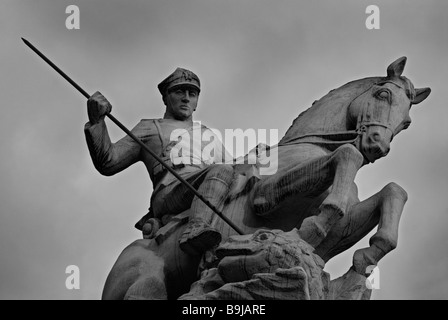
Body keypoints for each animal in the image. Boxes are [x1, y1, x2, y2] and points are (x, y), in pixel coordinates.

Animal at [100, 57, 430, 300]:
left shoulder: (341, 230)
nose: (377, 145)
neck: (314, 145)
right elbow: (347, 155)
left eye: (406, 122)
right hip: (145, 282)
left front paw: (365, 259)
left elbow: (393, 191)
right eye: (383, 94)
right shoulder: (265, 197)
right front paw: (317, 222)